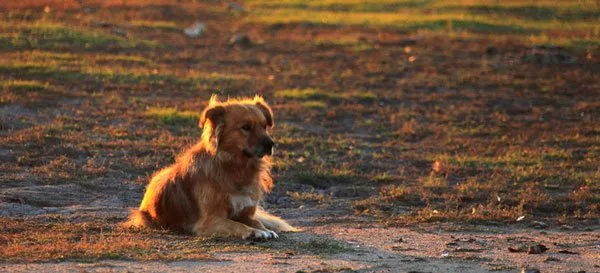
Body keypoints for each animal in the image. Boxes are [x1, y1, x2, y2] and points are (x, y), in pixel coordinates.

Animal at [123, 94, 298, 238]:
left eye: (265, 126)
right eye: (246, 127)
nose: (271, 144)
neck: (235, 166)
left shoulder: (245, 213)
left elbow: (256, 222)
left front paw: (264, 230)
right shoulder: (209, 220)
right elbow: (235, 225)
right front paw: (254, 232)